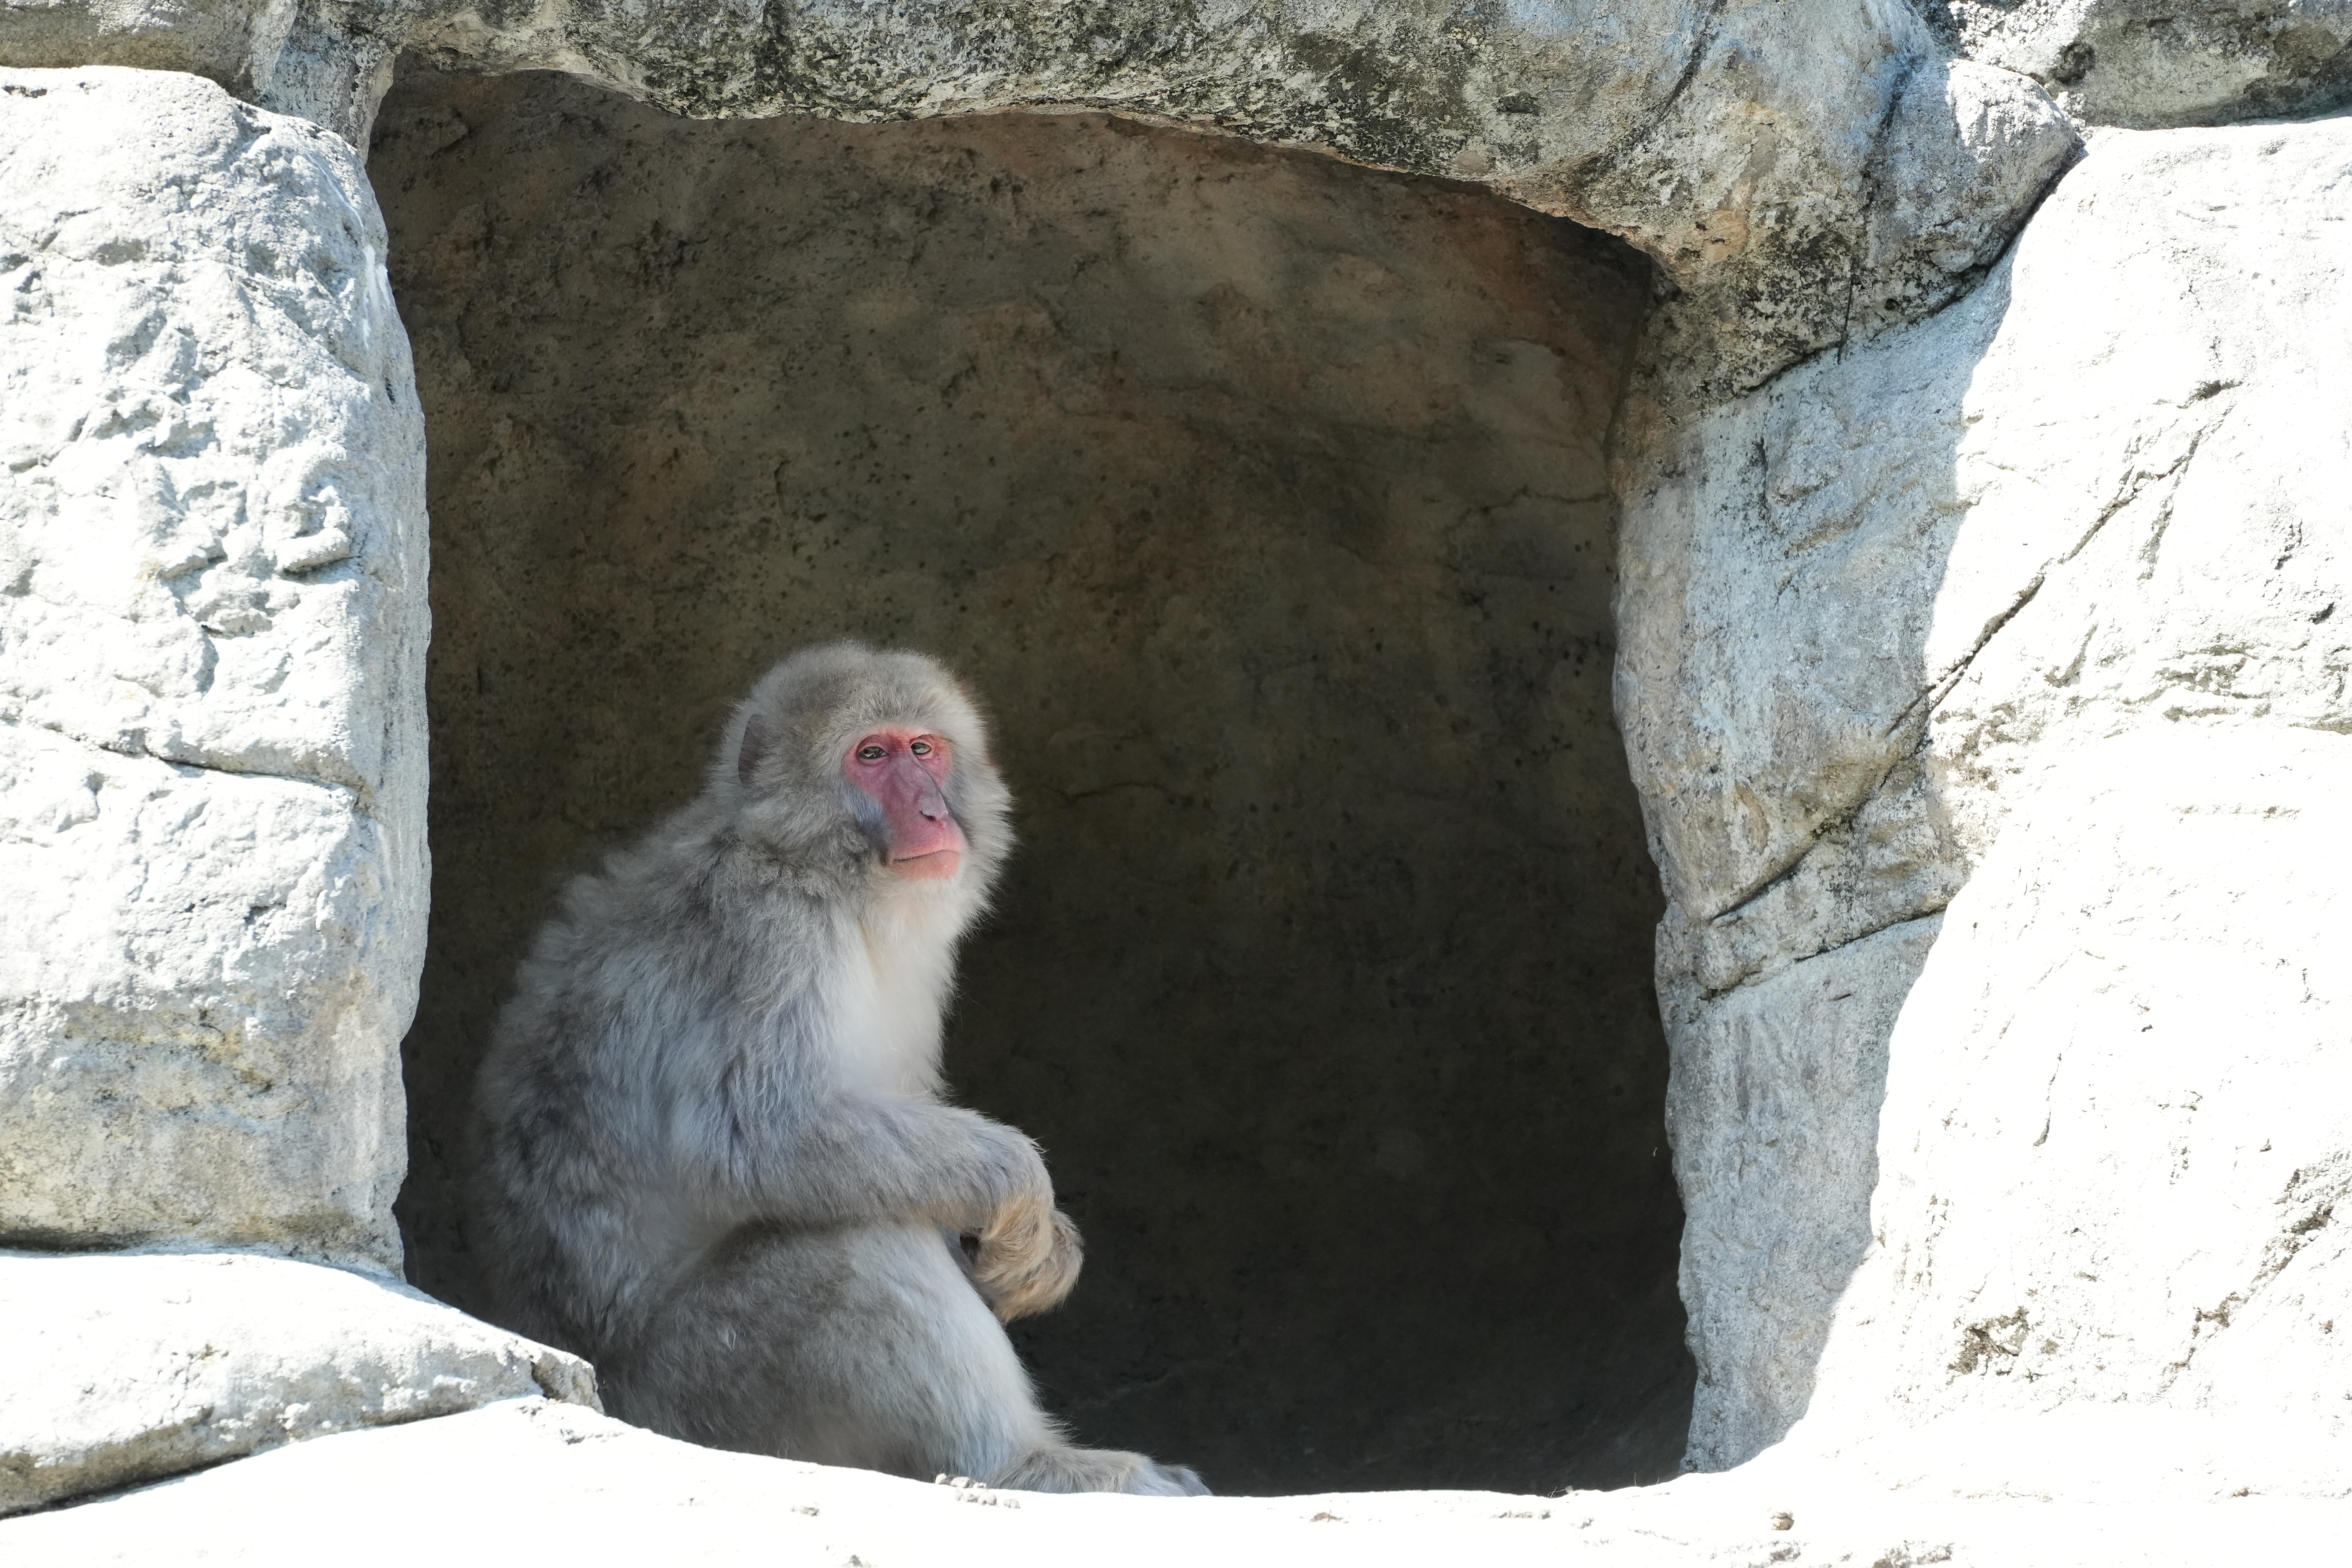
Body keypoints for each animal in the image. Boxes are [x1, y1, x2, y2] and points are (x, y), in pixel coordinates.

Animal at [471, 642, 1206, 1496]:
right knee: (857, 1243)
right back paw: (1025, 1463)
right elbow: (755, 1136)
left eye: (924, 750)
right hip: (706, 1392)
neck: (828, 873)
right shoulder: (771, 929)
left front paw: (1043, 1247)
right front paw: (1021, 1189)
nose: (933, 813)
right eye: (871, 757)